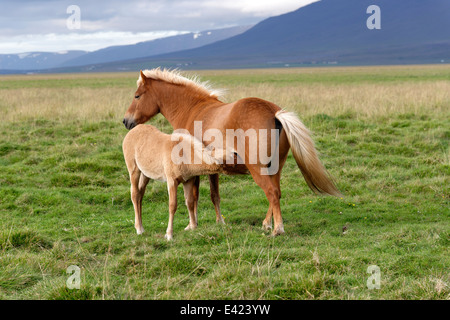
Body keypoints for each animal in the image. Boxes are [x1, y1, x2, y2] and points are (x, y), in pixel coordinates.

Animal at [121, 69, 340, 235]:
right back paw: (267, 224)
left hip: (258, 169)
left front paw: (193, 225)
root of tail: (274, 113)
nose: (126, 121)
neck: (193, 109)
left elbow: (193, 198)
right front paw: (219, 222)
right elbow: (214, 195)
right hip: (275, 168)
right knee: (276, 192)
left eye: (137, 96)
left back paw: (277, 229)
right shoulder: (210, 169)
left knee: (271, 192)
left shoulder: (194, 171)